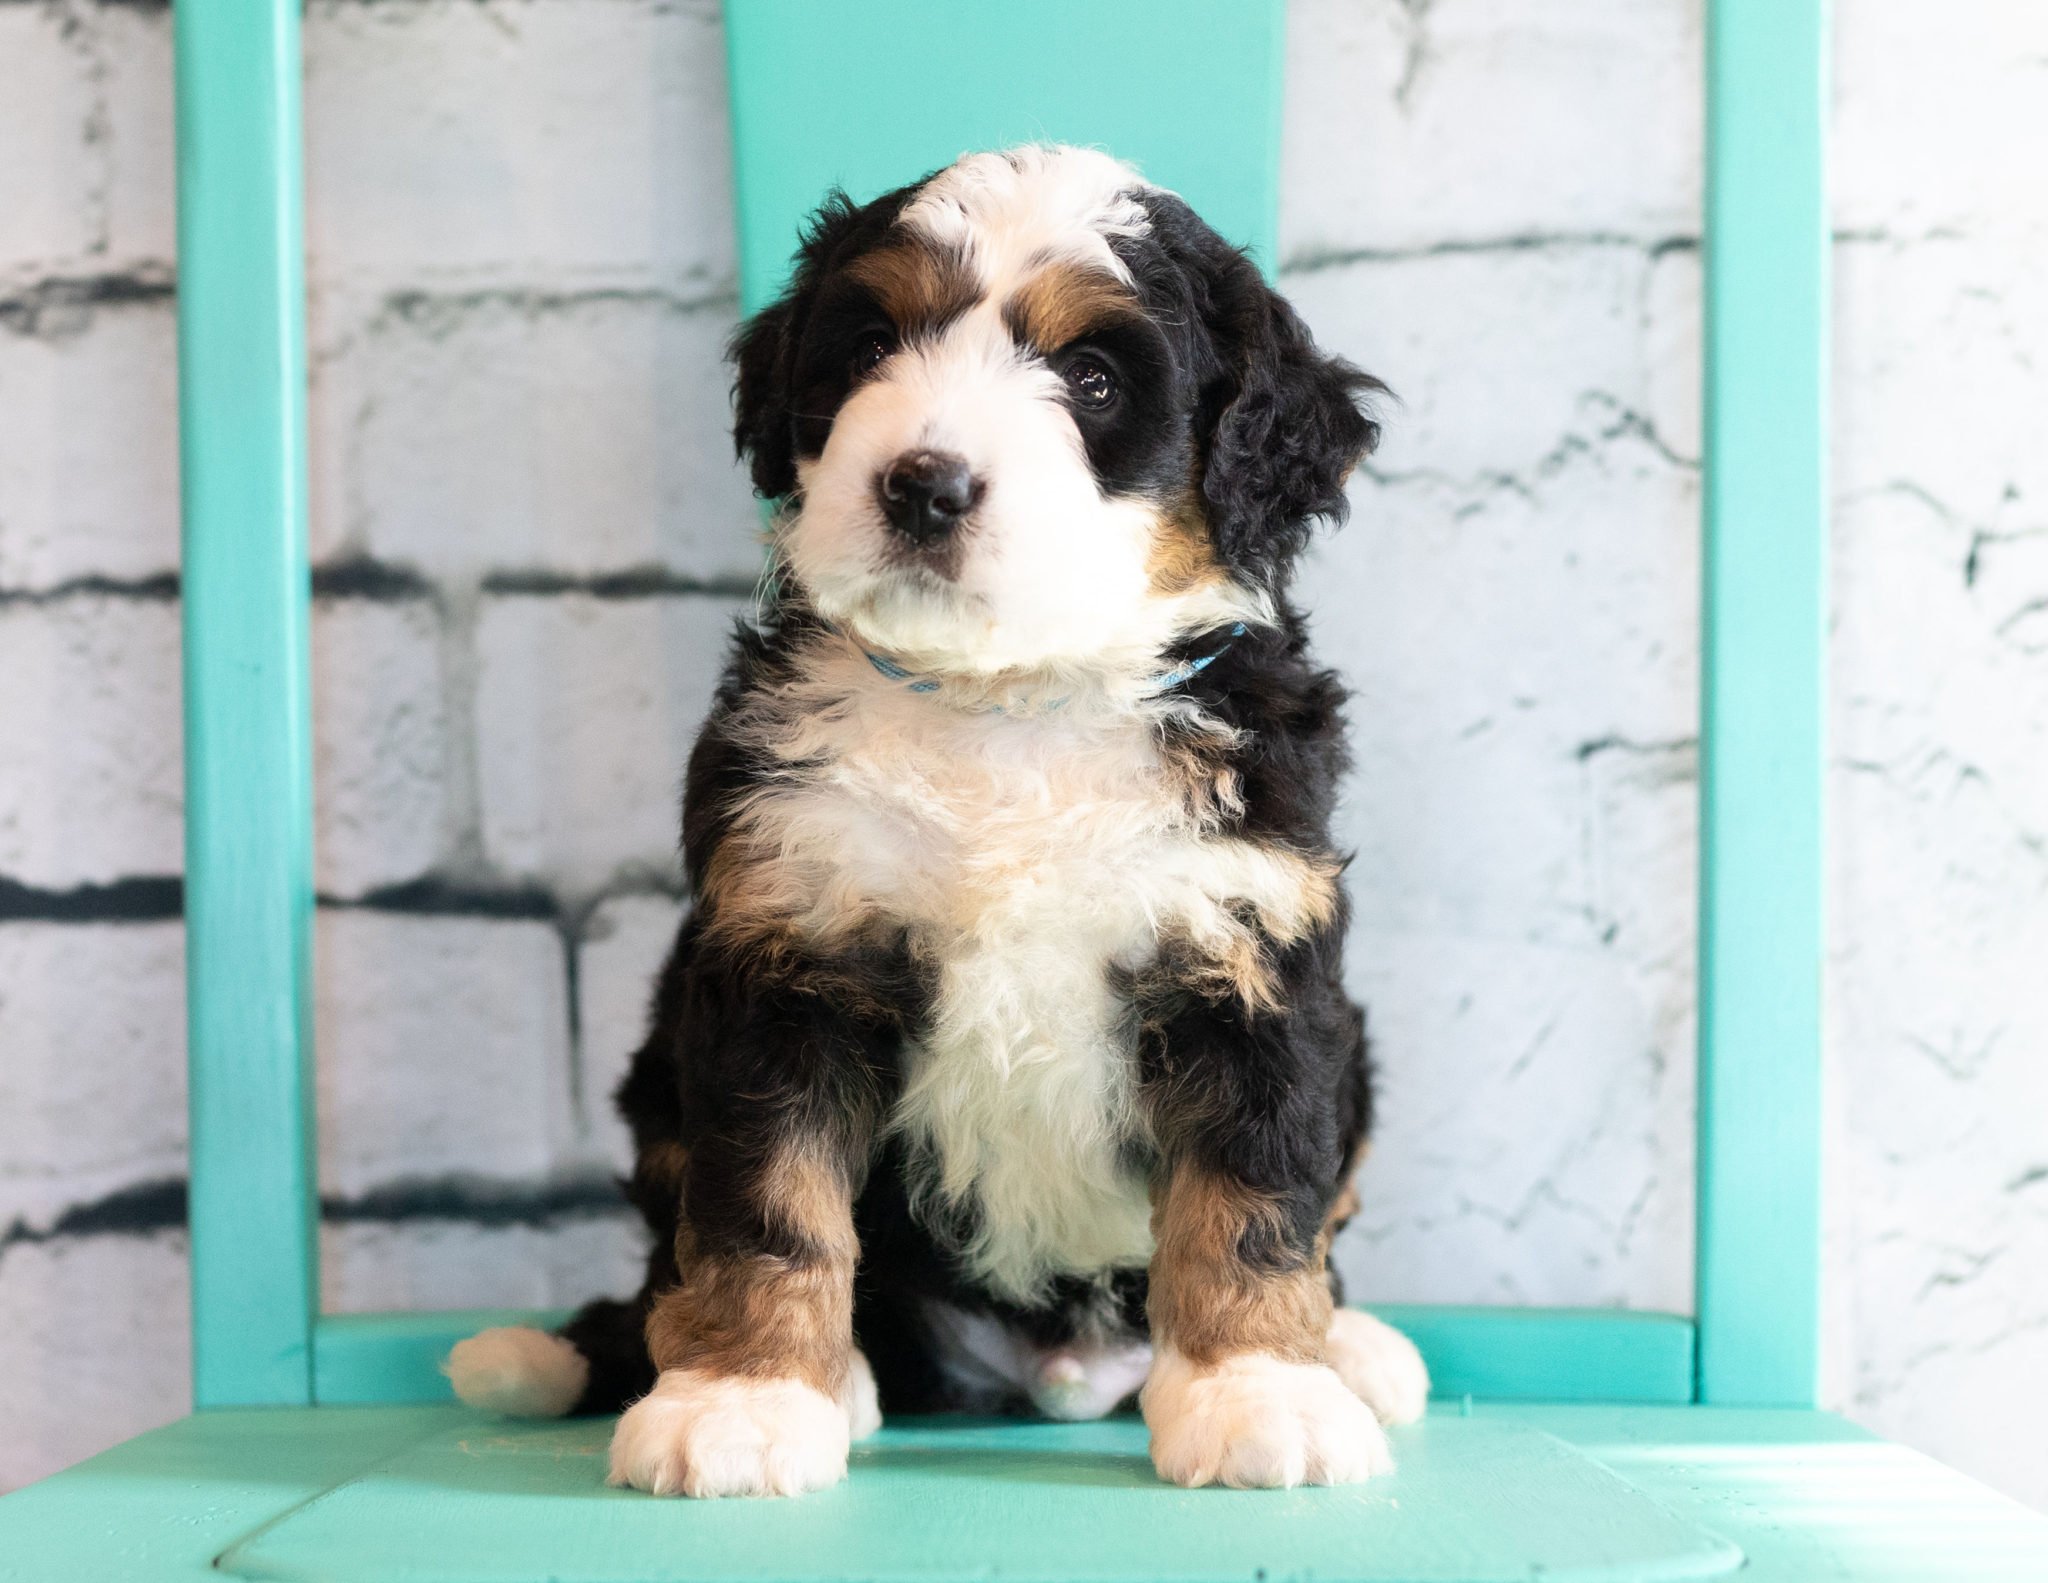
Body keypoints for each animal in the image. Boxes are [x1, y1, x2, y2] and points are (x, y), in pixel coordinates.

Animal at [448, 142, 1425, 1490]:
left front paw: (1258, 1390)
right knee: (669, 1258)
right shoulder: (783, 952)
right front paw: (743, 1398)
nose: (924, 483)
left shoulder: (1247, 952)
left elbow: (1252, 1198)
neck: (1004, 700)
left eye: (1092, 377)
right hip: (659, 1071)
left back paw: (1351, 1347)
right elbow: (763, 1202)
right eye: (869, 346)